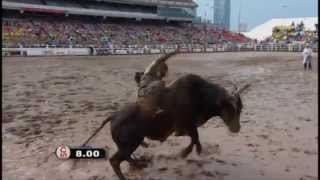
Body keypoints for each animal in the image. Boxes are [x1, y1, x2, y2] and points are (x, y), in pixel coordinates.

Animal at [81, 51, 251, 180]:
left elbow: (195, 138)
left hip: (129, 144)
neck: (201, 95)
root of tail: (114, 116)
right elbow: (195, 138)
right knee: (115, 160)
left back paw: (141, 163)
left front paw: (191, 151)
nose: (236, 128)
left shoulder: (188, 127)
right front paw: (185, 153)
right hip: (130, 144)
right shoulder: (186, 126)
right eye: (229, 108)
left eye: (240, 109)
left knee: (125, 158)